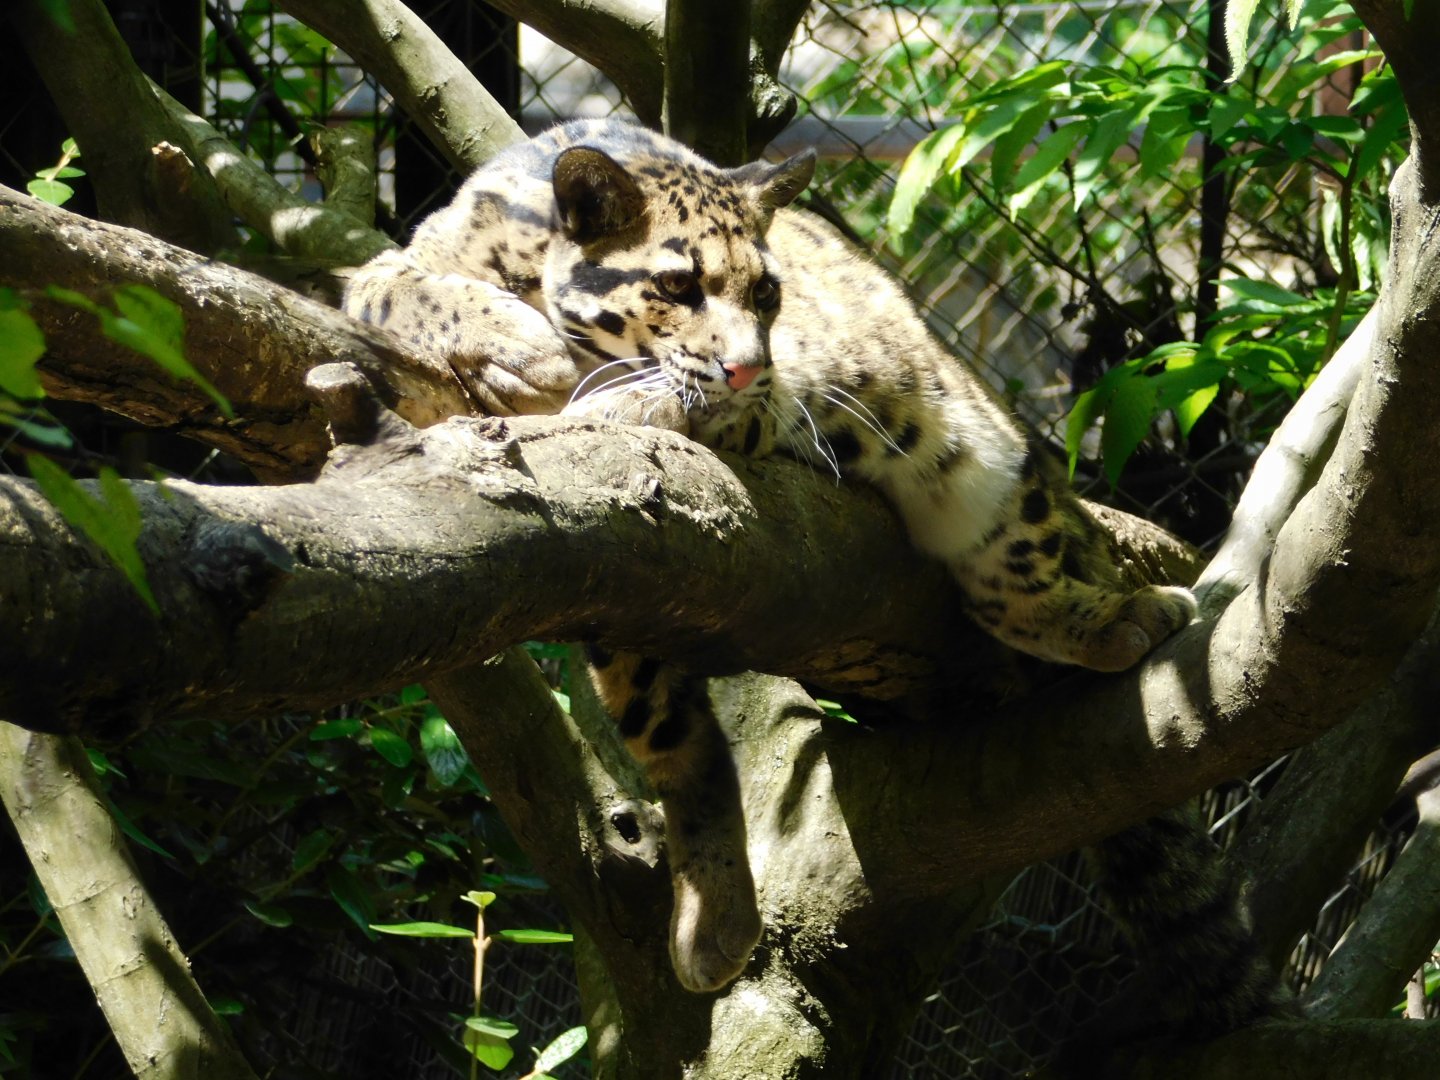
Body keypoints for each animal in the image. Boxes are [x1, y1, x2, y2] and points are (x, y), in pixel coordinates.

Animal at [343, 120, 1276, 1041]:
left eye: (766, 294)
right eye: (678, 285)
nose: (749, 364)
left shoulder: (763, 403)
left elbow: (668, 400)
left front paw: (595, 395)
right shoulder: (396, 266)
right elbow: (397, 291)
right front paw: (519, 346)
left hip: (979, 458)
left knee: (1012, 575)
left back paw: (1117, 615)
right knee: (676, 736)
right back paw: (716, 910)